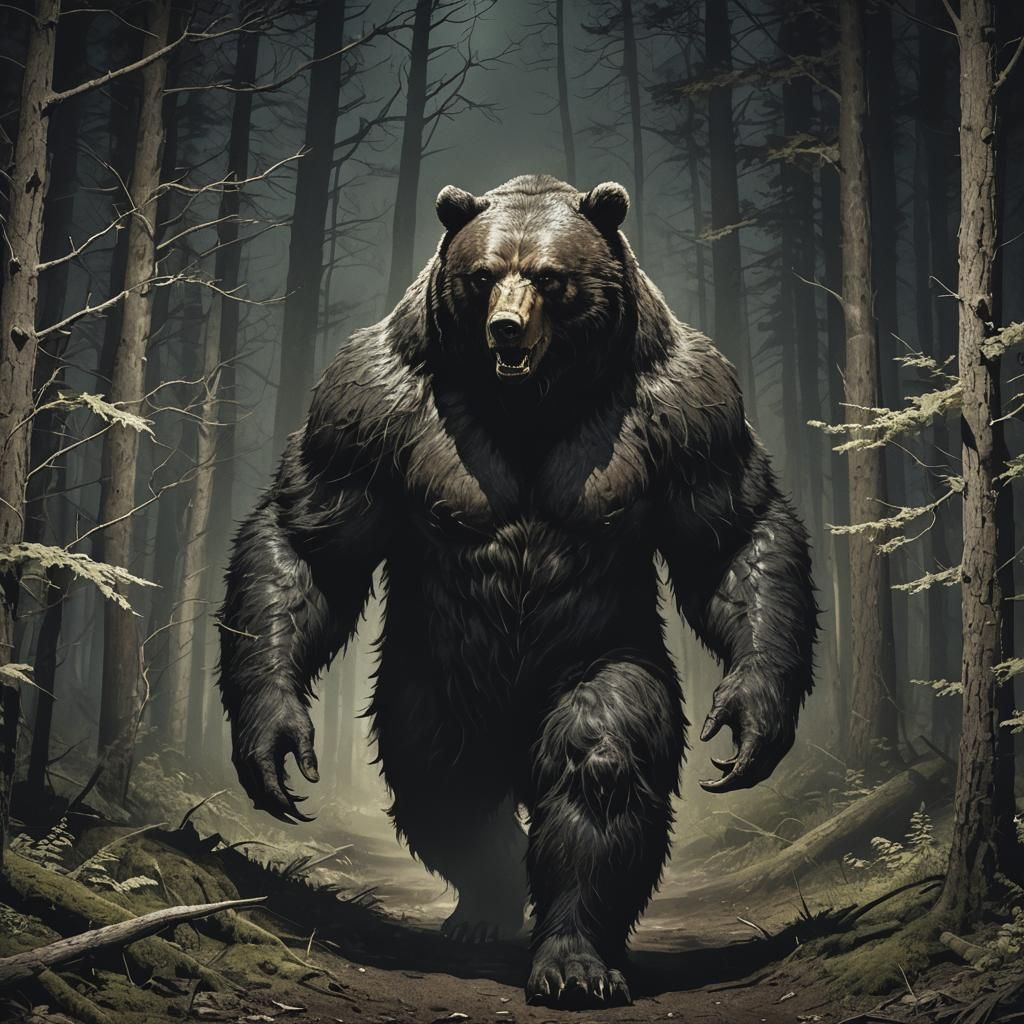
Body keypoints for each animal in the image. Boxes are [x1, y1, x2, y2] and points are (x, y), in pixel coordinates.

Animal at [217, 174, 816, 1009]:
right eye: (482, 274)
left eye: (550, 276)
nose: (506, 329)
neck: (537, 399)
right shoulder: (367, 398)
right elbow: (313, 538)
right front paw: (272, 734)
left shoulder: (689, 400)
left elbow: (730, 532)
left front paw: (753, 715)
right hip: (434, 684)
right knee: (444, 781)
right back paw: (486, 905)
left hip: (585, 653)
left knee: (594, 761)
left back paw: (573, 952)